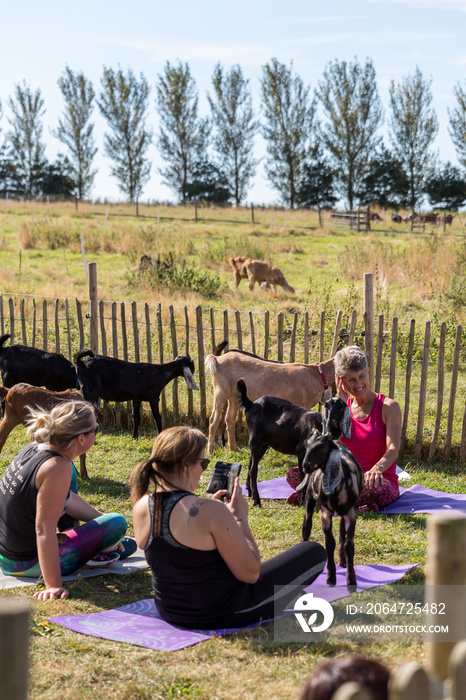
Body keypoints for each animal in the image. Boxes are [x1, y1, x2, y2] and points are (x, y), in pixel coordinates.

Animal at [205, 350, 334, 454]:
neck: (317, 374)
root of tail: (217, 358)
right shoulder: (303, 403)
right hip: (220, 391)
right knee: (213, 420)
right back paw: (210, 451)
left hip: (234, 396)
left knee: (229, 420)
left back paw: (234, 448)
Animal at [298, 432, 364, 592]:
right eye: (307, 446)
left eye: (322, 448)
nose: (305, 466)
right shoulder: (324, 514)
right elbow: (329, 543)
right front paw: (331, 577)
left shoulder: (351, 514)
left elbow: (348, 545)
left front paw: (351, 579)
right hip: (310, 499)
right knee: (307, 525)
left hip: (343, 513)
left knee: (341, 532)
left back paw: (343, 560)